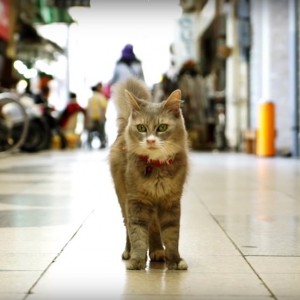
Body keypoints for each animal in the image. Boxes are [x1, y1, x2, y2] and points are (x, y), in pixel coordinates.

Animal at [109, 77, 189, 270]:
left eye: (162, 127)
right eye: (141, 128)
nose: (151, 141)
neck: (156, 168)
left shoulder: (171, 202)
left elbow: (172, 234)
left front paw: (174, 260)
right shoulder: (137, 201)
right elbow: (137, 233)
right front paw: (137, 260)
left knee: (153, 227)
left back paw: (158, 251)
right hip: (124, 198)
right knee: (129, 226)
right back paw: (129, 252)